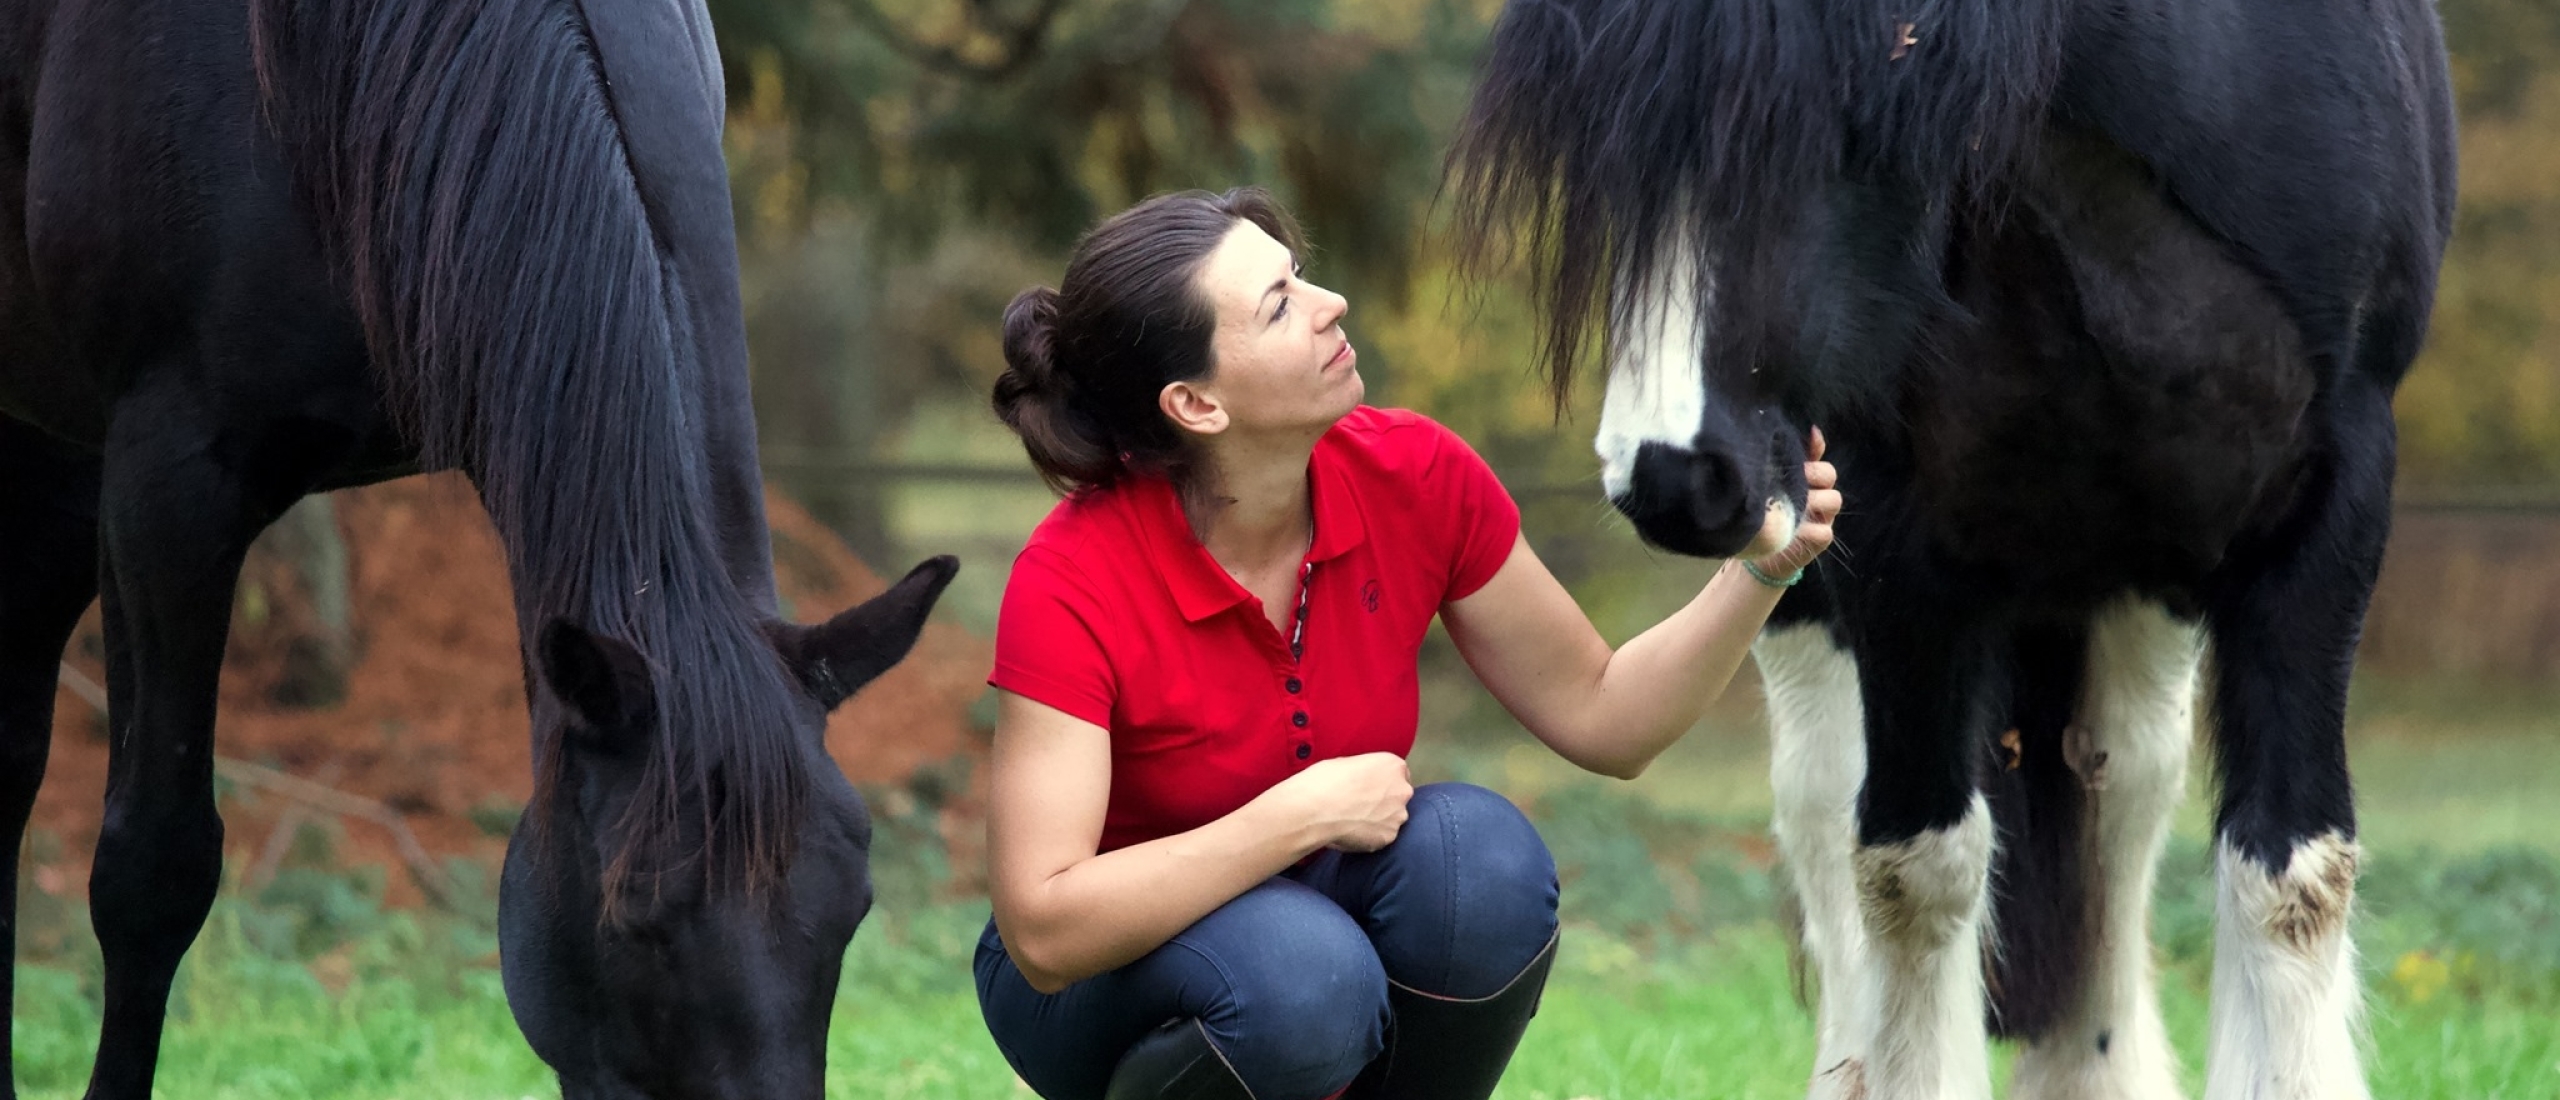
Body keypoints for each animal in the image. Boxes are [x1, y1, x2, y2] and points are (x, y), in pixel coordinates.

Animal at [1454, 2, 2447, 1100]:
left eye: (1818, 119)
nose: (1674, 478)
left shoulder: (2327, 502)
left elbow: (2292, 876)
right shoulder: (1893, 530)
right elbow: (1913, 870)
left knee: (2123, 788)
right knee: (1823, 804)